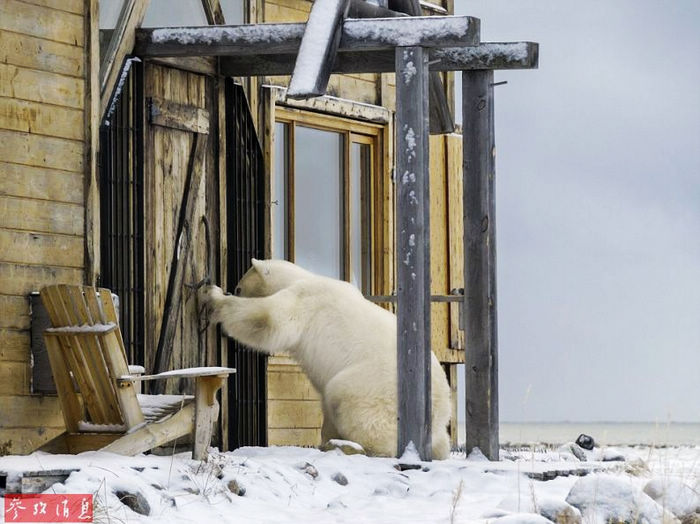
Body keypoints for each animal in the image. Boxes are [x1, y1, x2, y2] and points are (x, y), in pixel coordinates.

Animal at [198, 258, 448, 458]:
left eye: (239, 287)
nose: (233, 289)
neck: (304, 278)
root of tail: (440, 406)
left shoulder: (305, 301)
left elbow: (269, 318)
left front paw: (213, 297)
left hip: (374, 385)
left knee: (345, 398)